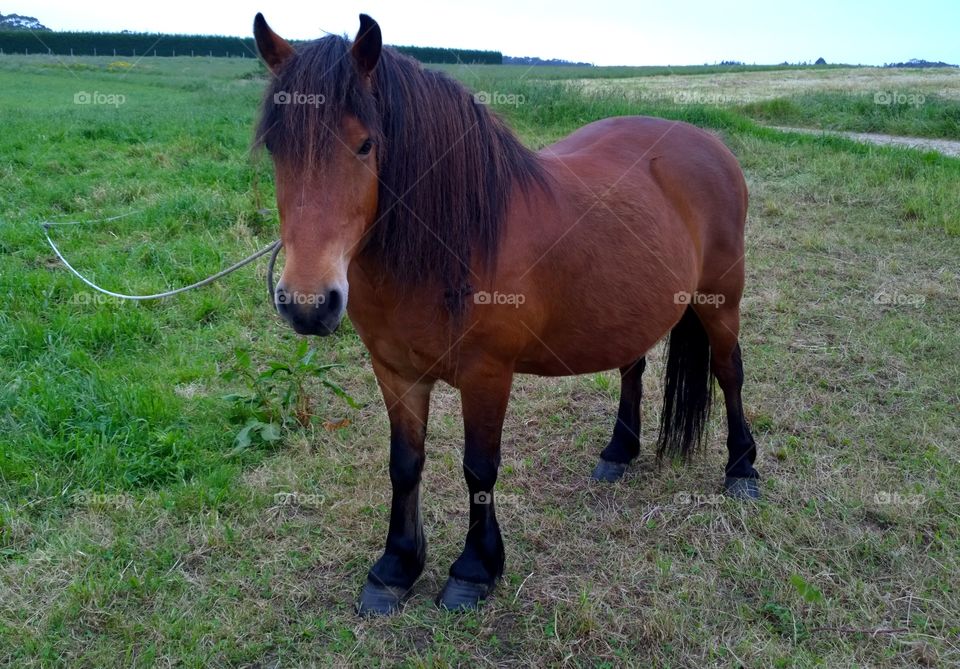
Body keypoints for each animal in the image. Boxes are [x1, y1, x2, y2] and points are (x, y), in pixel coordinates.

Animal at [252, 13, 760, 616]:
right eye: (275, 148)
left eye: (365, 145)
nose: (308, 303)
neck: (455, 242)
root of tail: (707, 142)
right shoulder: (396, 372)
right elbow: (404, 465)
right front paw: (396, 567)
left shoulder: (486, 374)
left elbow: (479, 467)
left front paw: (474, 570)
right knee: (632, 367)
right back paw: (618, 453)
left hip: (720, 303)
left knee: (729, 373)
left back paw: (742, 469)